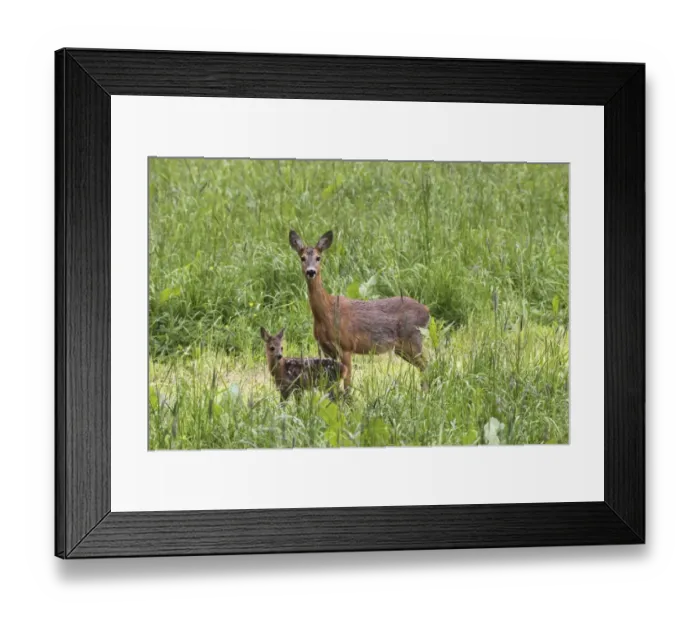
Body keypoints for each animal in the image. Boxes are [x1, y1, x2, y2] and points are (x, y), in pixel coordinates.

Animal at [289, 230, 431, 390]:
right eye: (302, 258)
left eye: (318, 258)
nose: (311, 272)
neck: (327, 312)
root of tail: (427, 311)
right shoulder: (326, 350)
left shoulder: (346, 346)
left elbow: (347, 385)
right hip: (403, 347)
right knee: (424, 366)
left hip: (412, 339)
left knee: (427, 365)